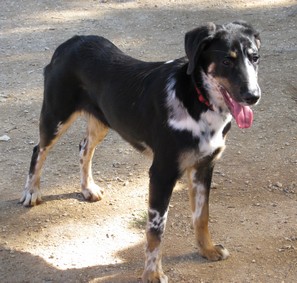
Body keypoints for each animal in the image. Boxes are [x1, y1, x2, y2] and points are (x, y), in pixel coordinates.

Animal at [20, 21, 260, 282]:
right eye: (227, 60)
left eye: (255, 57)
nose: (253, 96)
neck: (199, 101)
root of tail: (72, 41)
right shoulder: (162, 173)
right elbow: (156, 230)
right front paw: (153, 273)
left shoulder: (204, 167)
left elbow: (202, 216)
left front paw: (207, 250)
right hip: (56, 116)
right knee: (38, 150)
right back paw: (31, 192)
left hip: (102, 121)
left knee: (84, 149)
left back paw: (87, 188)